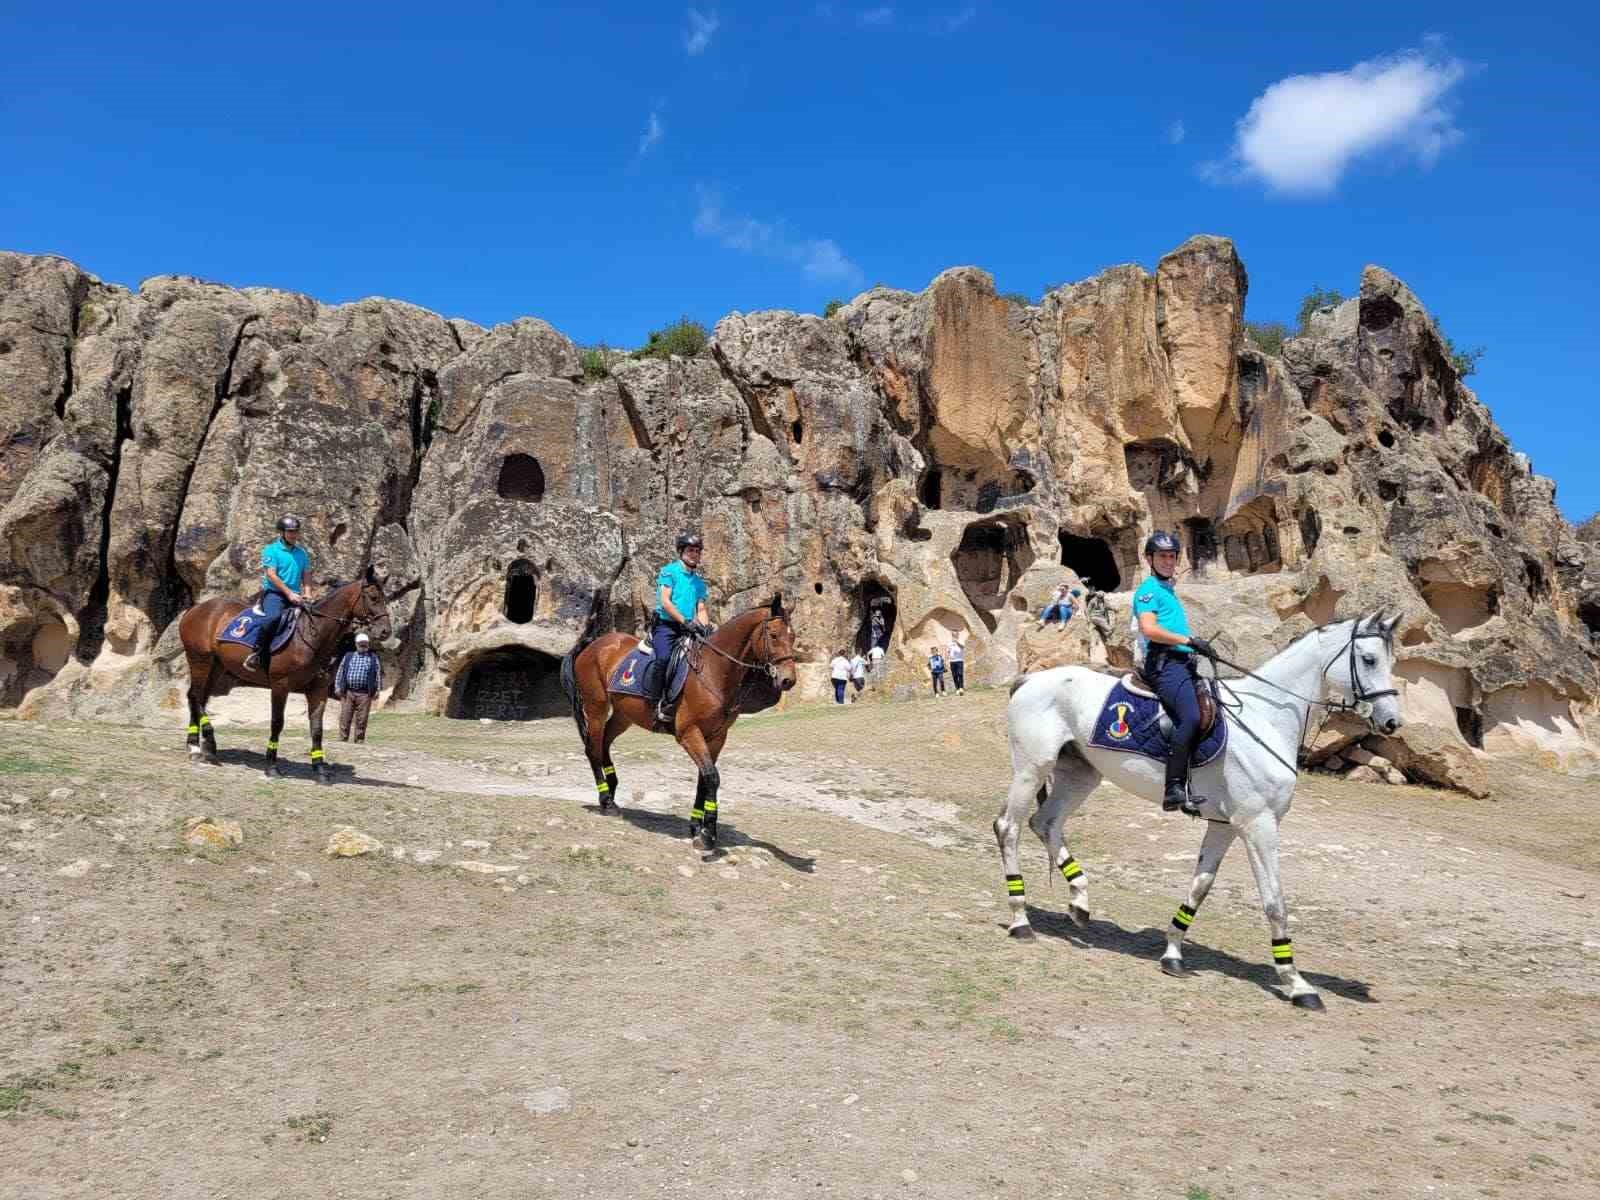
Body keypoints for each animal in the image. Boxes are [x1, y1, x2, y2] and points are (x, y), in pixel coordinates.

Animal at [176, 569, 395, 784]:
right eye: (374, 597)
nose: (385, 631)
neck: (310, 635)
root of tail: (196, 609)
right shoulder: (280, 686)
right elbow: (277, 722)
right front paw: (272, 766)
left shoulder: (318, 690)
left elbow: (317, 728)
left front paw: (320, 769)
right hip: (200, 661)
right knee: (196, 697)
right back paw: (204, 746)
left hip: (217, 667)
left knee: (198, 698)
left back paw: (196, 745)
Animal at [563, 598, 800, 851]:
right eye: (773, 635)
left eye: (793, 636)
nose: (788, 680)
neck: (715, 670)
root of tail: (594, 644)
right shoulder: (689, 733)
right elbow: (712, 777)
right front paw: (708, 835)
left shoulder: (717, 737)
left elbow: (703, 780)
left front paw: (697, 827)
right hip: (595, 707)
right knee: (593, 750)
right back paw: (607, 801)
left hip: (623, 715)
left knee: (605, 744)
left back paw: (613, 789)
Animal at [992, 614, 1408, 1011]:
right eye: (1369, 659)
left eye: (1390, 661)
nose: (1392, 722)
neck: (1265, 719)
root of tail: (1031, 678)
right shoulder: (1258, 825)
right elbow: (1275, 903)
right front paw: (1296, 984)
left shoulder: (1224, 825)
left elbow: (1201, 886)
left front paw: (1173, 954)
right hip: (1032, 769)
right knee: (1008, 827)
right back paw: (1021, 921)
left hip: (1080, 774)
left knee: (1045, 823)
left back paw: (1079, 901)